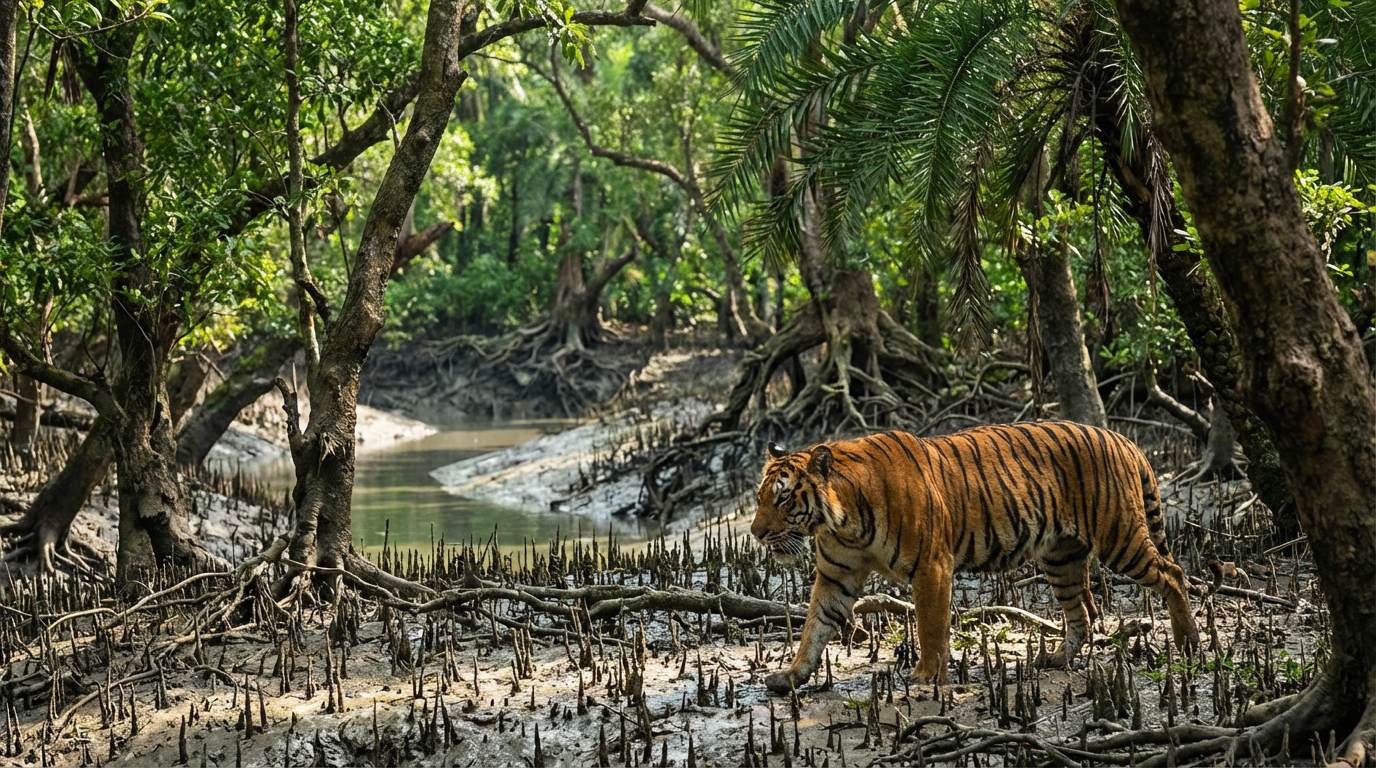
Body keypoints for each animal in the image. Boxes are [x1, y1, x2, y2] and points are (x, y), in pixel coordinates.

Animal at [751, 421, 1200, 692]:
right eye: (759, 498)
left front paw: (926, 675)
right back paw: (1056, 659)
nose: (755, 533)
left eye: (784, 498)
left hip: (1119, 537)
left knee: (1173, 573)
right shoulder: (835, 576)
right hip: (1061, 557)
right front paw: (791, 674)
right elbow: (815, 626)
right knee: (1082, 612)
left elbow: (930, 626)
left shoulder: (932, 567)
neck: (842, 521)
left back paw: (1188, 641)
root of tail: (1121, 438)